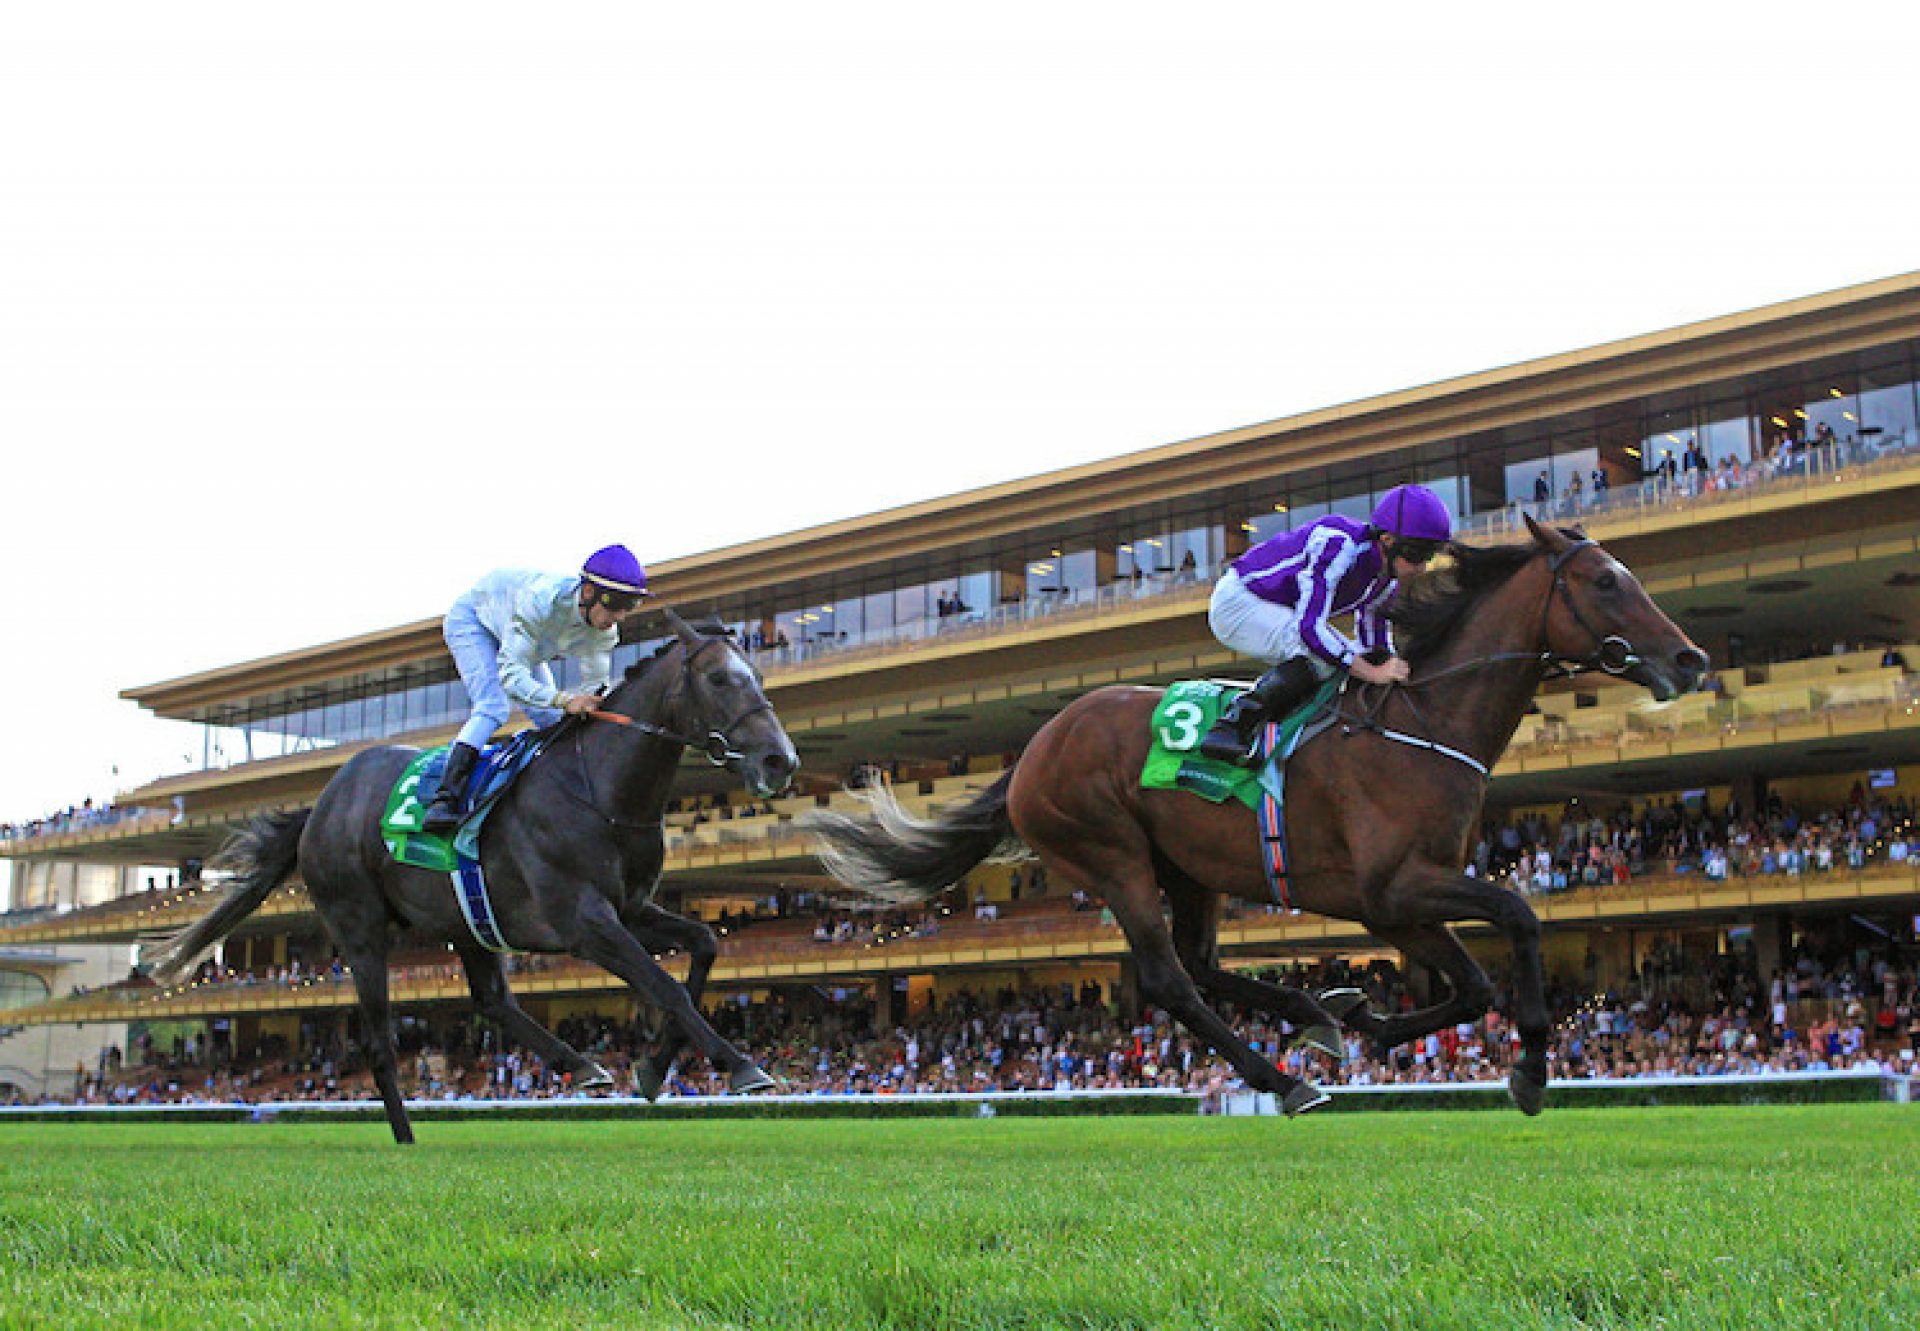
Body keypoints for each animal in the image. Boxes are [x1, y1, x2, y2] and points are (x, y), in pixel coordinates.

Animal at [147, 610, 794, 1144]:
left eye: (759, 677)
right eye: (719, 680)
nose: (780, 760)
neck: (601, 790)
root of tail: (321, 805)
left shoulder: (631, 909)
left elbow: (704, 945)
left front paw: (655, 1067)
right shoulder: (583, 921)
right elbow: (662, 986)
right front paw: (742, 1066)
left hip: (468, 921)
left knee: (491, 999)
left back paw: (581, 1064)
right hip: (359, 925)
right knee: (379, 1040)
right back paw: (406, 1137)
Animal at [802, 514, 1704, 1113]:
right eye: (1604, 581)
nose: (1690, 659)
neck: (1423, 721)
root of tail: (1031, 748)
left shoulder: (1398, 904)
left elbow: (1475, 985)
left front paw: (1370, 1017)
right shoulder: (1394, 889)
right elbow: (1518, 917)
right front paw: (1529, 1068)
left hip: (1188, 866)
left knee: (1201, 965)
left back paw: (1316, 1017)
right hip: (1110, 853)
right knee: (1169, 977)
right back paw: (1284, 1075)